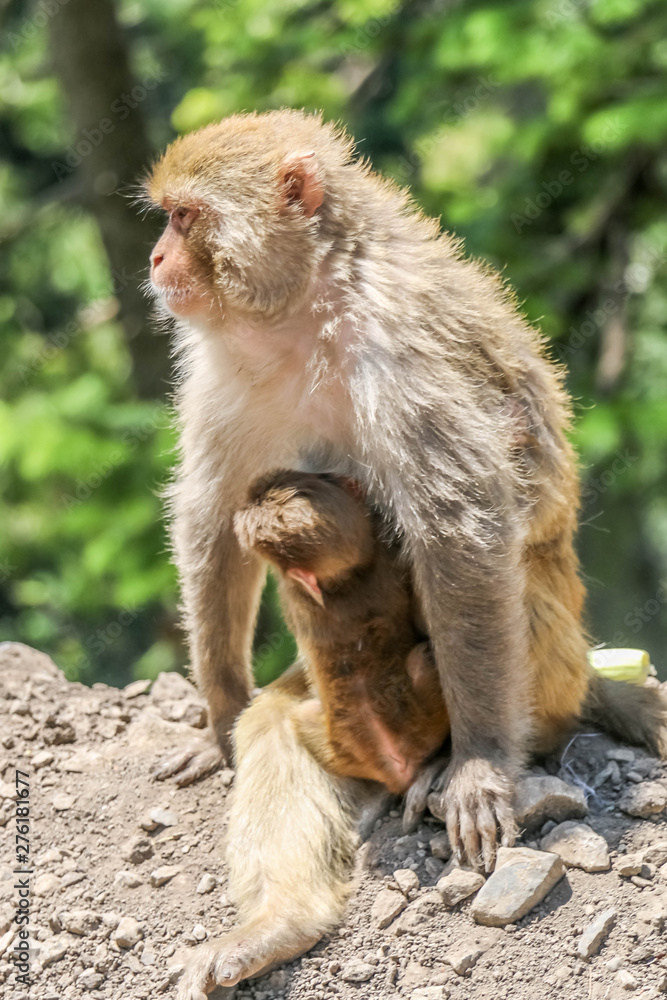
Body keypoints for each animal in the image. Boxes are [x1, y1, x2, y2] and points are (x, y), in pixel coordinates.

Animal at [234, 466, 448, 788]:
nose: (342, 477)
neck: (340, 583)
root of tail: (394, 767)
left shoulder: (293, 594)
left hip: (336, 741)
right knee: (423, 659)